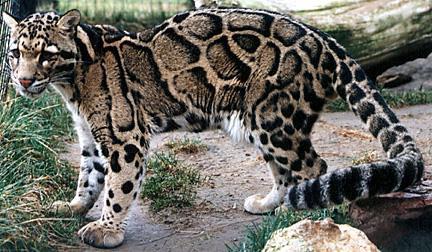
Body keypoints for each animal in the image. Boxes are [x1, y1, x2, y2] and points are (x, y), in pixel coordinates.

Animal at [2, 7, 422, 248]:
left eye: (47, 54)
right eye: (16, 52)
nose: (22, 81)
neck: (70, 85)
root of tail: (325, 39)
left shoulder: (124, 137)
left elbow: (118, 188)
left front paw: (107, 230)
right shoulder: (91, 136)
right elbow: (89, 176)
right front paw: (73, 206)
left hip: (273, 116)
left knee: (313, 167)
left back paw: (304, 220)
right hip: (261, 121)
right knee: (286, 170)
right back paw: (271, 205)